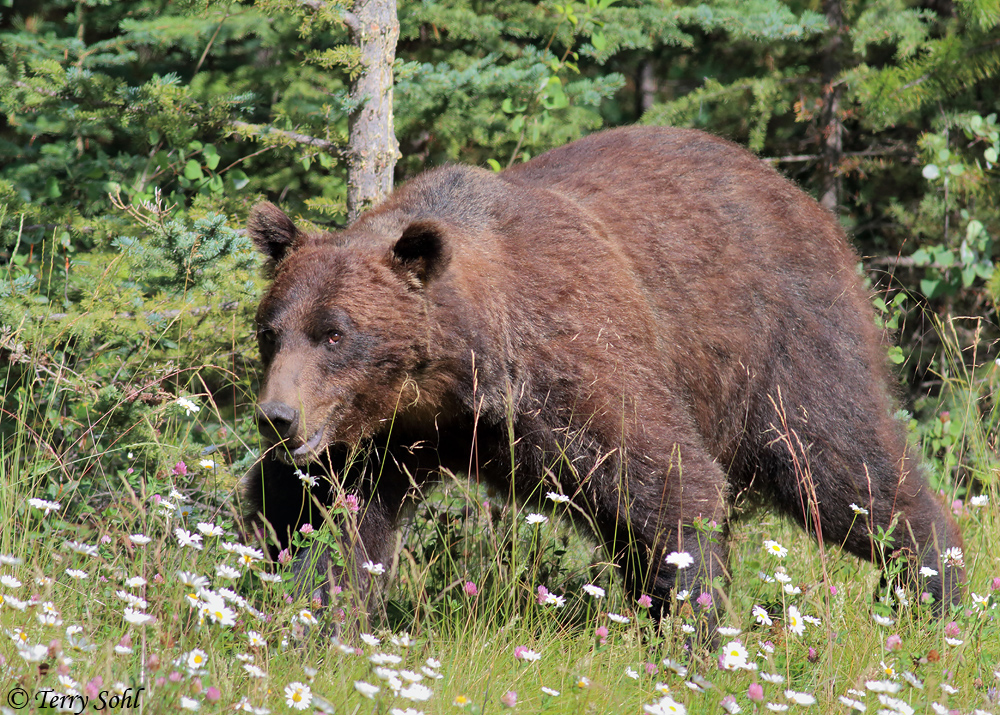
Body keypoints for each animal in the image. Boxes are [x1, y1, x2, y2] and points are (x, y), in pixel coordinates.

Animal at [240, 124, 960, 628]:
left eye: (336, 333)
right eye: (270, 330)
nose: (278, 417)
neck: (460, 380)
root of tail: (805, 200)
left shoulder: (577, 363)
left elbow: (673, 484)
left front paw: (689, 630)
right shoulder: (383, 437)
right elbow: (326, 521)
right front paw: (308, 615)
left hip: (780, 343)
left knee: (841, 466)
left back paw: (936, 586)